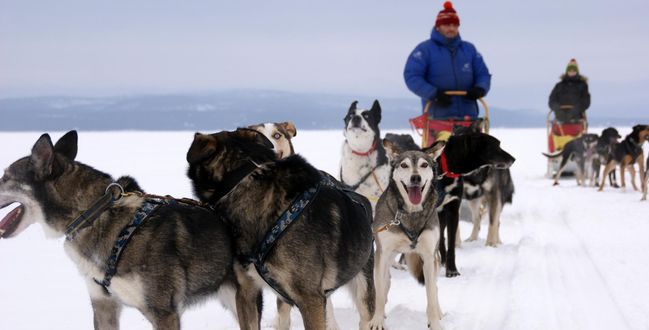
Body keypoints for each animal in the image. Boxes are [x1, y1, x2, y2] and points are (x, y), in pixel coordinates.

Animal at [370, 146, 446, 330]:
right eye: (404, 165)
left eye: (424, 164)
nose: (415, 177)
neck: (411, 214)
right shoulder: (382, 254)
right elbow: (380, 292)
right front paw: (377, 321)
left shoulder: (428, 257)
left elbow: (431, 294)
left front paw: (434, 322)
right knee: (385, 283)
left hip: (435, 259)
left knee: (434, 287)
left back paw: (438, 312)